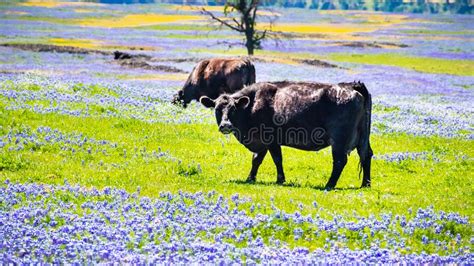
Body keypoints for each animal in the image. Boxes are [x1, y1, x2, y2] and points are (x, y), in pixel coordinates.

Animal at [200, 81, 374, 189]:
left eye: (233, 109)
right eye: (217, 109)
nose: (225, 125)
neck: (253, 105)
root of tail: (352, 87)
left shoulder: (270, 139)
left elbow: (276, 159)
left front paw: (280, 179)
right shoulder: (261, 142)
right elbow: (256, 160)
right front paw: (250, 178)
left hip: (339, 139)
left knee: (339, 161)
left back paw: (329, 184)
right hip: (363, 137)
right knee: (366, 155)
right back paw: (366, 184)